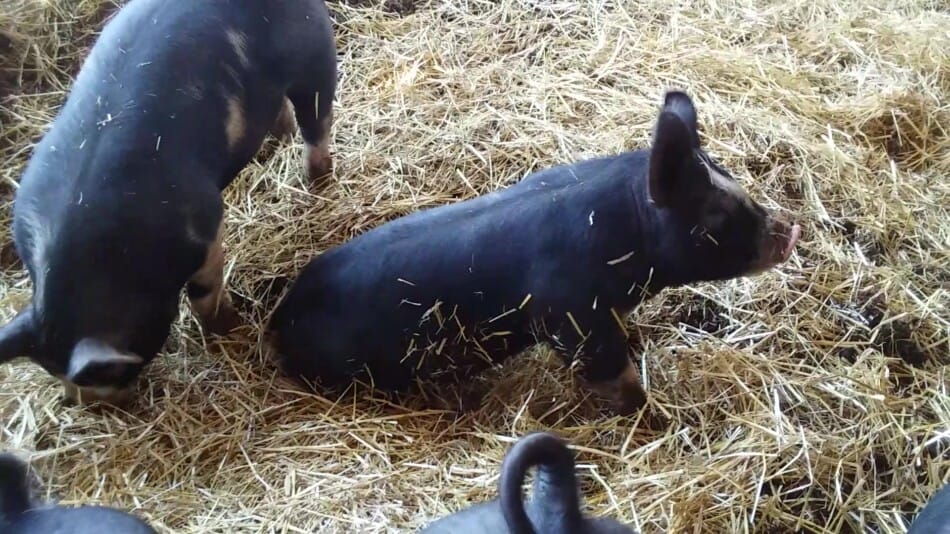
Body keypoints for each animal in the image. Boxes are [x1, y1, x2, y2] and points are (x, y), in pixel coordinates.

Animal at [0, 0, 338, 404]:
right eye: (52, 372)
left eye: (110, 371)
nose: (95, 406)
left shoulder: (205, 226)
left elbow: (203, 293)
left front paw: (226, 329)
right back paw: (275, 144)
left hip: (315, 52)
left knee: (317, 118)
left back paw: (316, 178)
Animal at [272, 91, 800, 414]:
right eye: (714, 213)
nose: (790, 229)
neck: (626, 236)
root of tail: (279, 319)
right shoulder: (571, 318)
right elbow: (615, 374)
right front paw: (651, 417)